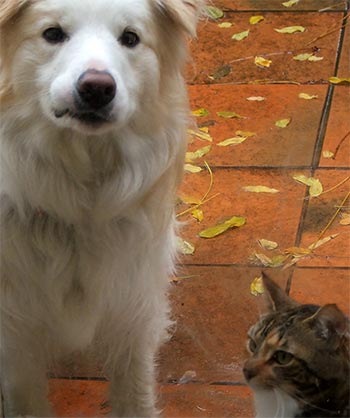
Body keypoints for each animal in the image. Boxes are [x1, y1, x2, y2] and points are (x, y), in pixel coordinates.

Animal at [0, 1, 202, 416]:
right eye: (52, 33)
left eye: (130, 38)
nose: (97, 88)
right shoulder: (15, 333)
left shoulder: (132, 306)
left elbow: (134, 393)